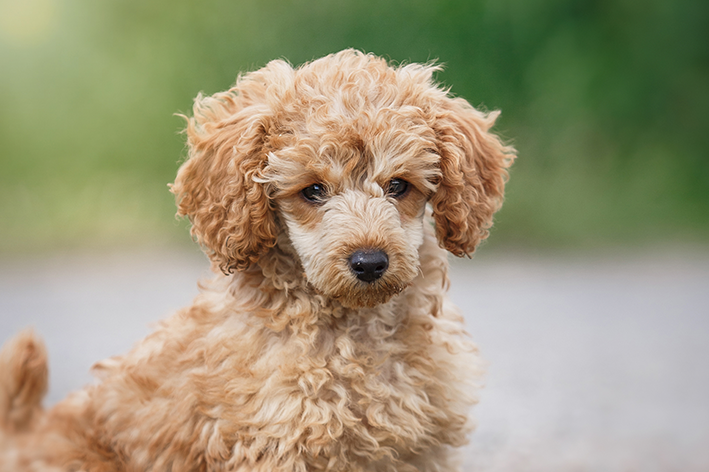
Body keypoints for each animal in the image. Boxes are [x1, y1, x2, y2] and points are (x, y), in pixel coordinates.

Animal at [0, 49, 512, 470]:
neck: (354, 332)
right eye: (313, 190)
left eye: (399, 186)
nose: (369, 262)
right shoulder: (274, 441)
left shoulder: (418, 448)